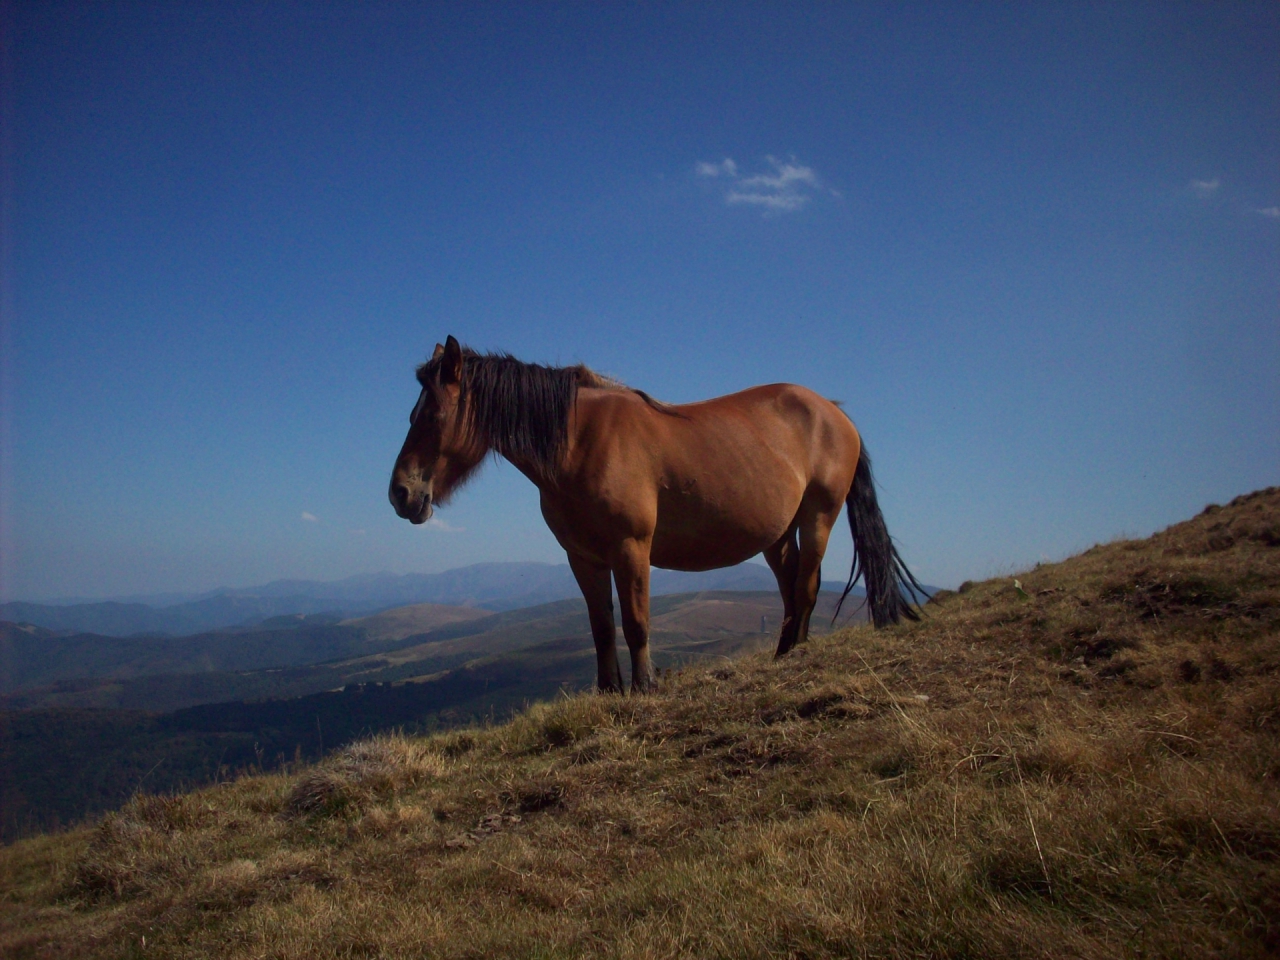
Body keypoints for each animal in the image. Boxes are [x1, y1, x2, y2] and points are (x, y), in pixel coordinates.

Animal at [384, 335, 926, 691]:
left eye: (433, 414)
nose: (401, 494)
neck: (580, 442)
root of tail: (834, 411)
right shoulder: (583, 558)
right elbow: (602, 627)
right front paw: (609, 693)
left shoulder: (632, 548)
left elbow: (636, 622)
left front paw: (644, 688)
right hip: (777, 536)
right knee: (792, 589)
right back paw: (784, 653)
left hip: (817, 519)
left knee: (808, 587)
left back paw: (796, 654)